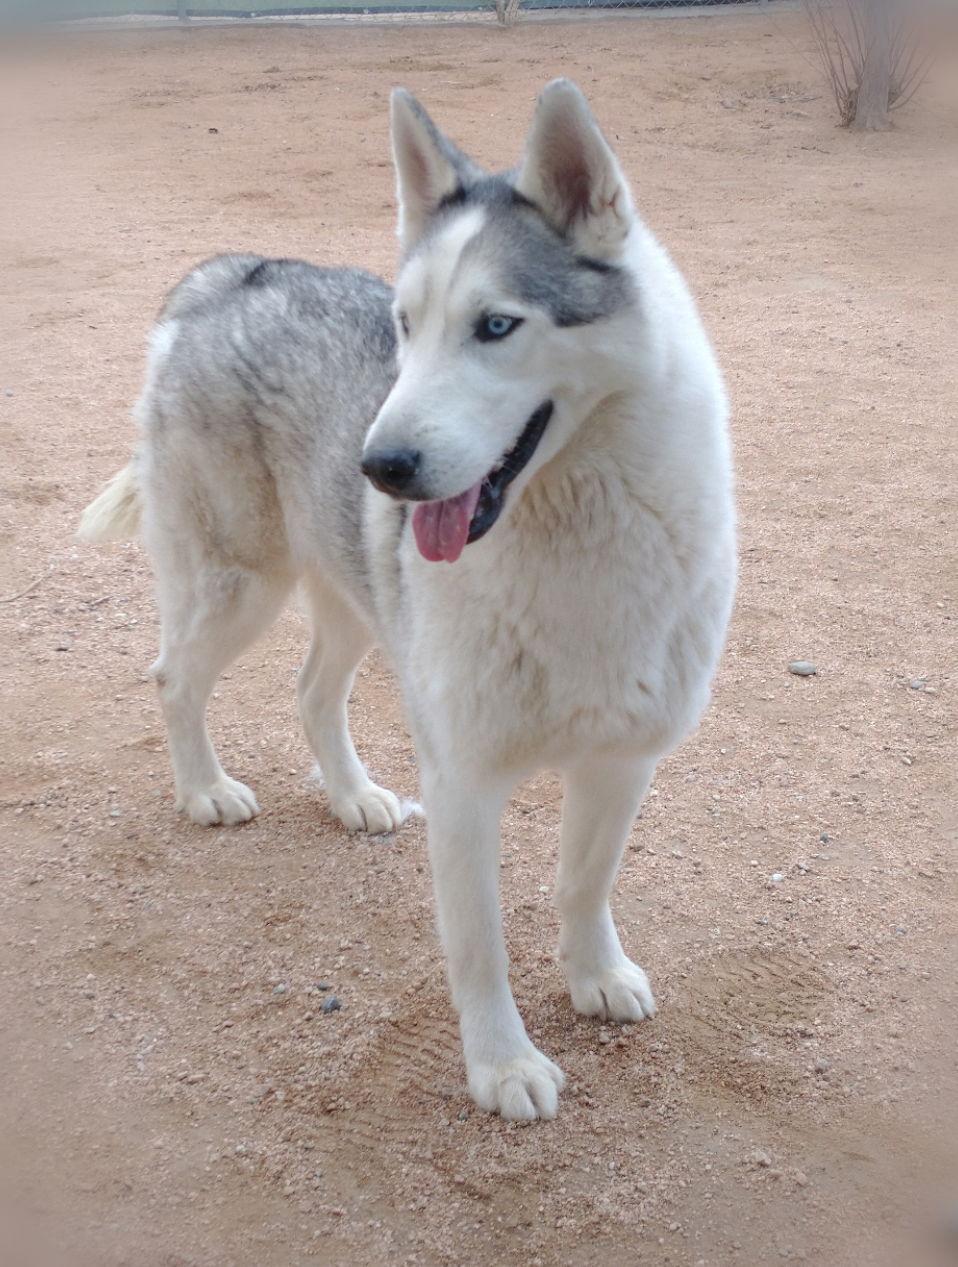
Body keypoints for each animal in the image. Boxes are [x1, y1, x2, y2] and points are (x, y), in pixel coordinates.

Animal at [79, 80, 736, 1121]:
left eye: (496, 325)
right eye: (403, 324)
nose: (379, 467)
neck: (577, 544)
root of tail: (233, 276)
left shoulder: (623, 760)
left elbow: (584, 882)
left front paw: (594, 974)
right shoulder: (464, 780)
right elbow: (479, 945)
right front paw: (503, 1065)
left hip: (352, 603)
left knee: (311, 693)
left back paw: (353, 796)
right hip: (239, 586)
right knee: (173, 678)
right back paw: (205, 789)